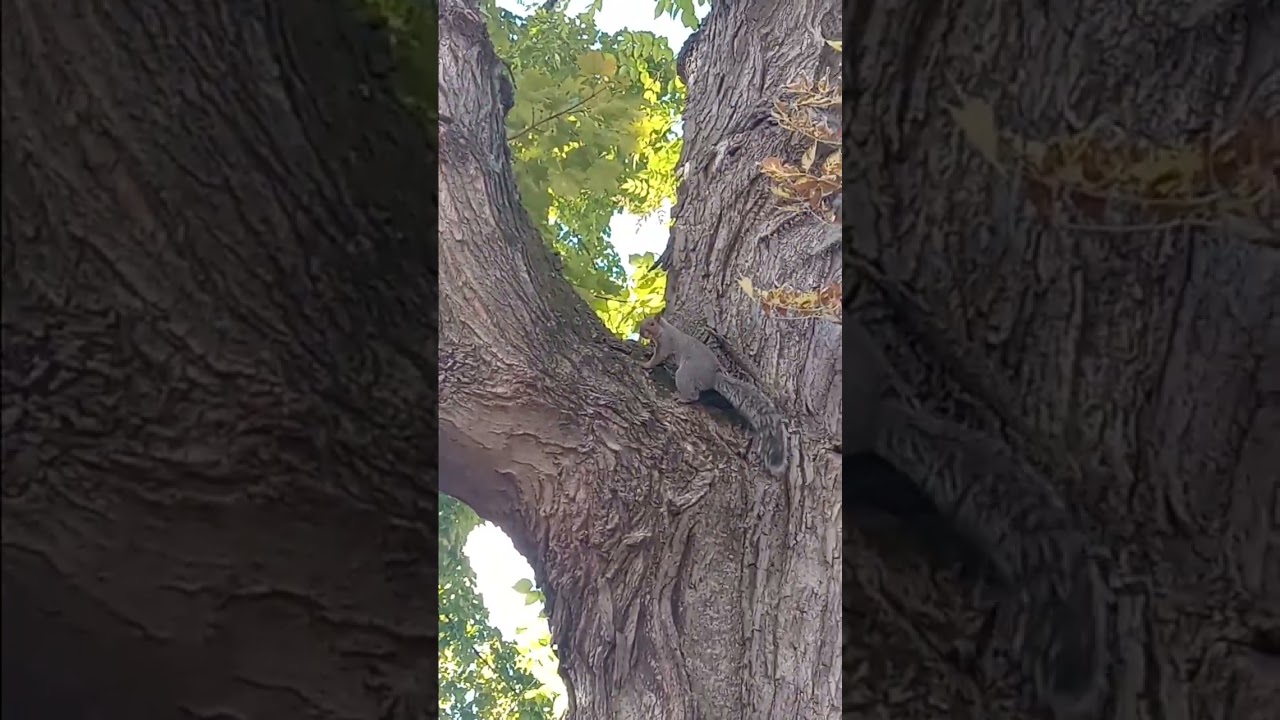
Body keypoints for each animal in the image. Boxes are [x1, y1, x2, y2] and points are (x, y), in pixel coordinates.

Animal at [637, 315, 787, 477]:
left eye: (652, 323)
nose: (641, 332)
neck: (664, 329)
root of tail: (713, 377)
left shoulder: (666, 344)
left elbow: (657, 358)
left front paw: (645, 364)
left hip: (685, 373)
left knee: (694, 395)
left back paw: (682, 397)